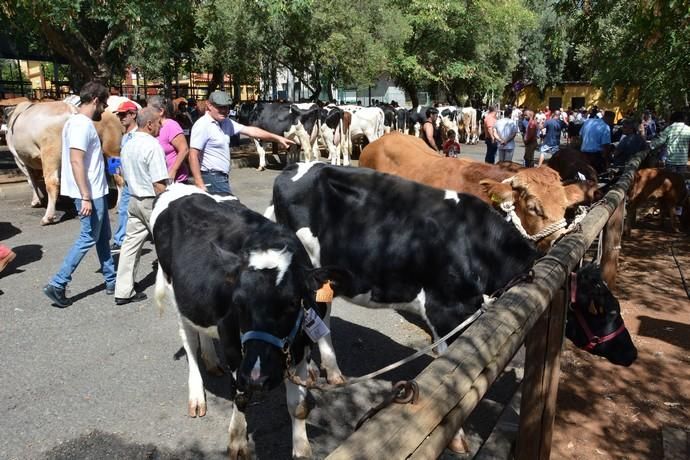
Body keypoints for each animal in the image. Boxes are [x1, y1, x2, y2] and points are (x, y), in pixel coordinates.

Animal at [152, 182, 334, 456]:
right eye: (237, 303)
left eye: (293, 302)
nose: (257, 378)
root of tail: (176, 186)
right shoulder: (231, 341)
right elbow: (241, 394)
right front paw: (237, 440)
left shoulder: (301, 346)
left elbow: (297, 405)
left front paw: (302, 450)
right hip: (176, 294)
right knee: (190, 343)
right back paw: (196, 394)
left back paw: (212, 361)